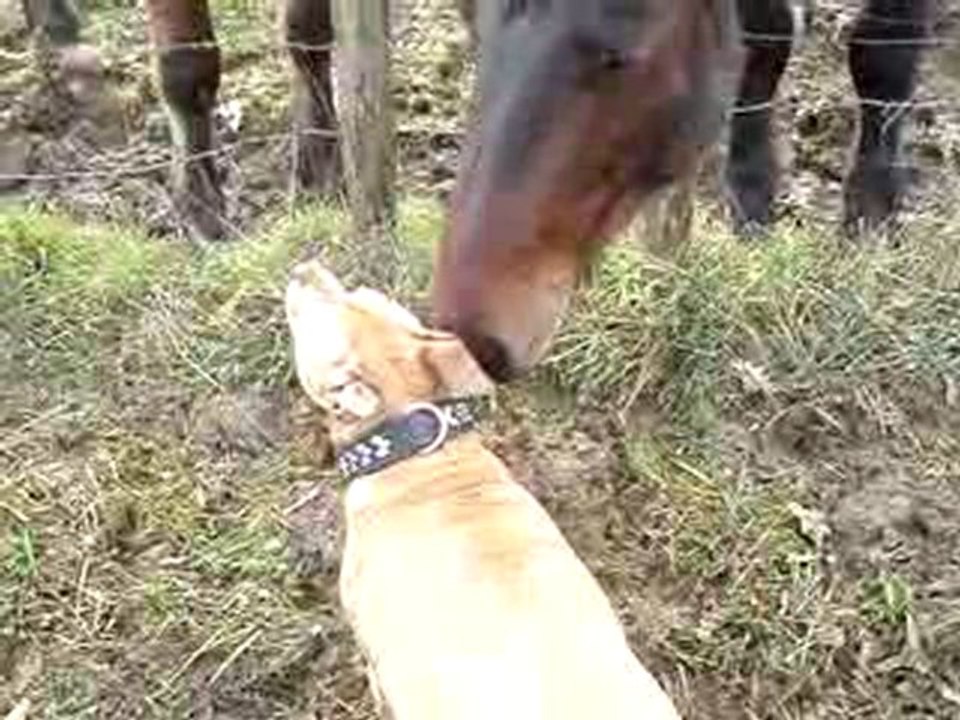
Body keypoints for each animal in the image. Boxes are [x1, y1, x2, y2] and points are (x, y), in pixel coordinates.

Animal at [432, 0, 935, 382]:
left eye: (620, 49)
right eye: (468, 17)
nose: (470, 340)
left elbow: (882, 52)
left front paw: (871, 223)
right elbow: (764, 37)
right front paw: (751, 200)